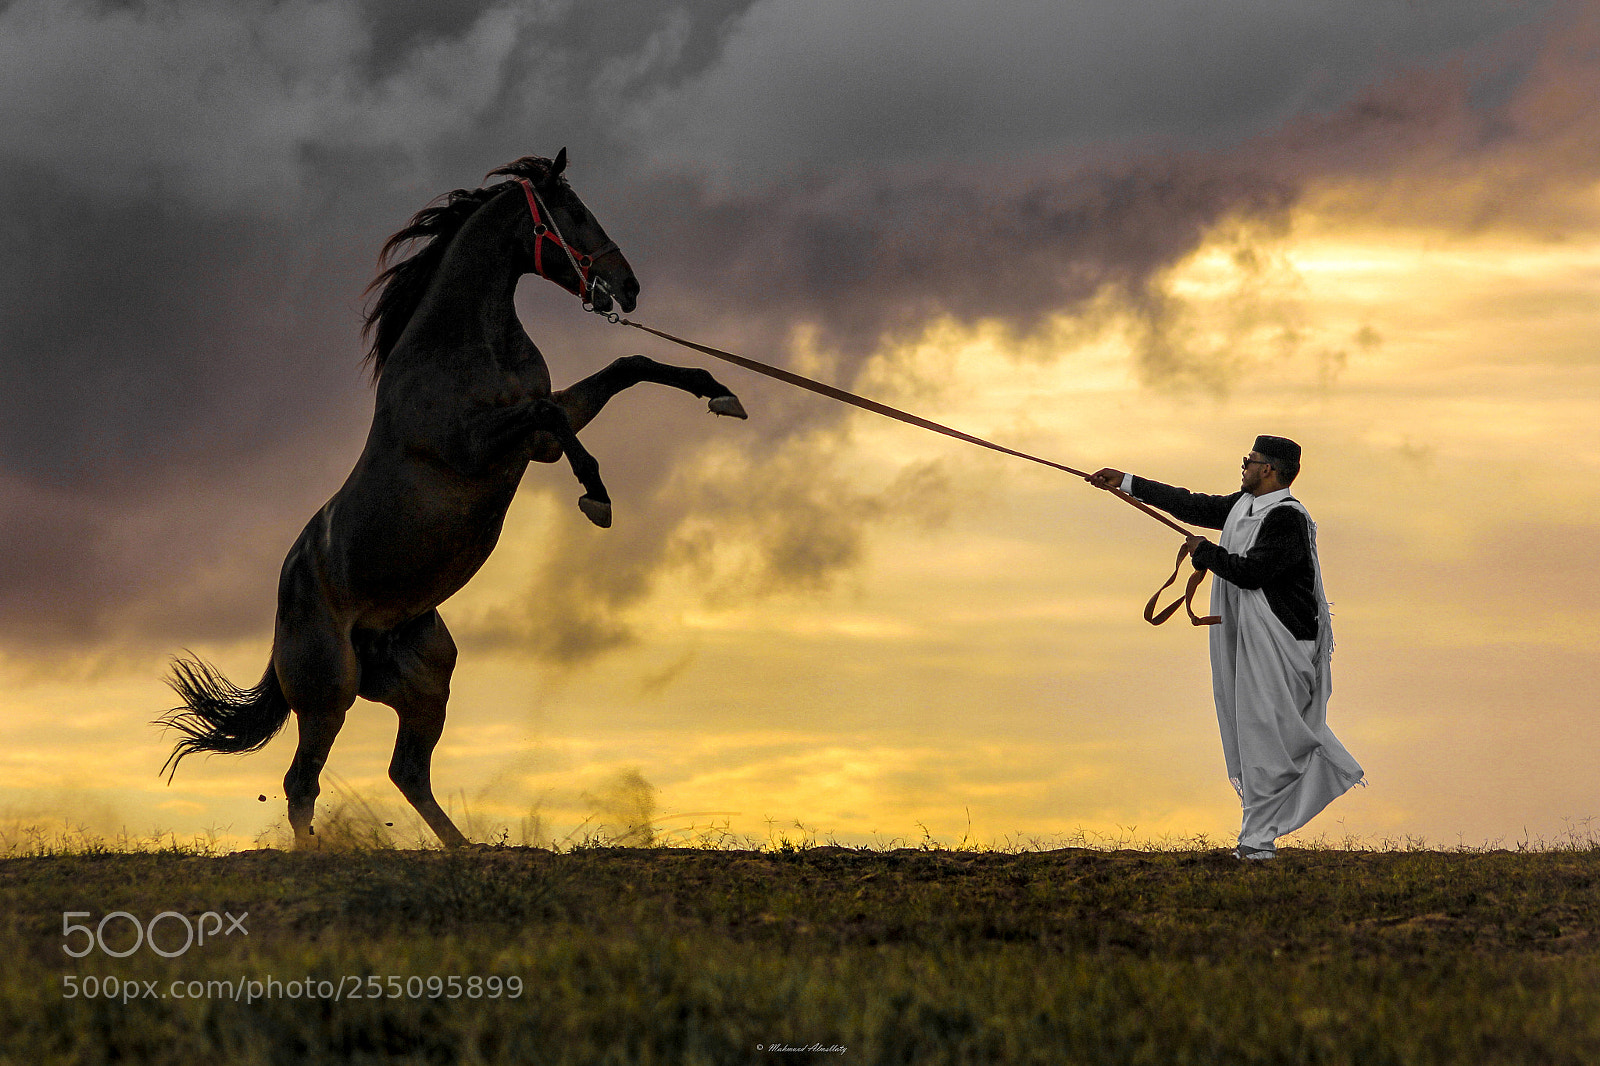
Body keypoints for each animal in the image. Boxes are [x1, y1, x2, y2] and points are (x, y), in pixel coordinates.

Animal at [158, 149, 747, 847]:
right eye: (574, 210)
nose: (627, 287)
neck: (464, 346)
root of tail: (286, 600)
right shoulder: (481, 445)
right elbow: (556, 413)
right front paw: (597, 496)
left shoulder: (534, 443)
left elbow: (626, 368)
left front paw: (719, 392)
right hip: (330, 692)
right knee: (303, 782)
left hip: (426, 679)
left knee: (406, 770)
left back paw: (466, 848)